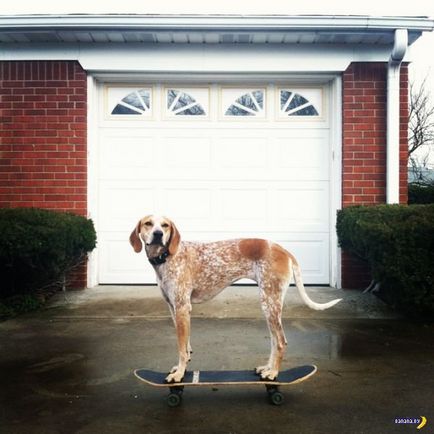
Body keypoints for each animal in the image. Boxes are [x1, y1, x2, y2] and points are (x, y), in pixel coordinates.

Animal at [130, 215, 342, 382]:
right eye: (148, 223)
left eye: (165, 225)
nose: (158, 234)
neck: (167, 257)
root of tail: (284, 250)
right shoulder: (174, 308)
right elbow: (186, 345)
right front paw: (181, 367)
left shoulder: (182, 307)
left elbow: (181, 348)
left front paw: (179, 374)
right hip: (270, 306)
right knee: (274, 341)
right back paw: (267, 368)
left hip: (270, 303)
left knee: (281, 341)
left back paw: (273, 373)